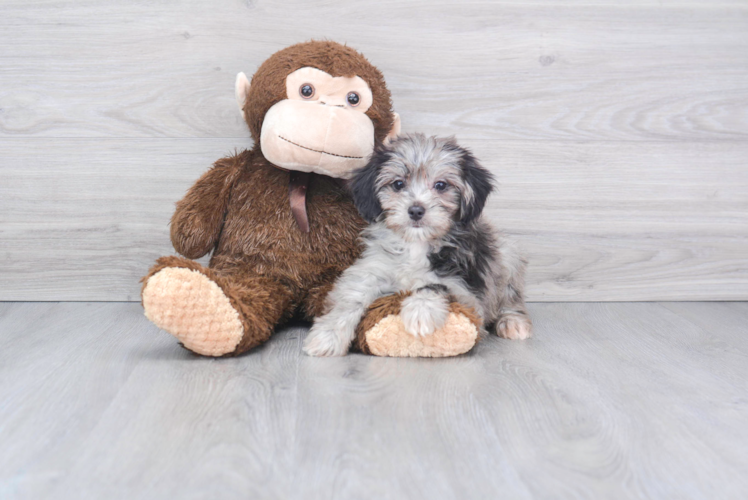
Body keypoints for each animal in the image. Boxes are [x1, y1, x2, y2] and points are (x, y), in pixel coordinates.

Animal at [304, 132, 532, 356]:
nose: (415, 210)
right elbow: (353, 295)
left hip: (507, 257)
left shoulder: (467, 290)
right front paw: (328, 335)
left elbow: (435, 284)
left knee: (511, 298)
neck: (416, 244)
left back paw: (512, 322)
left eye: (441, 185)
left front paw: (420, 311)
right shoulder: (373, 269)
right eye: (398, 184)